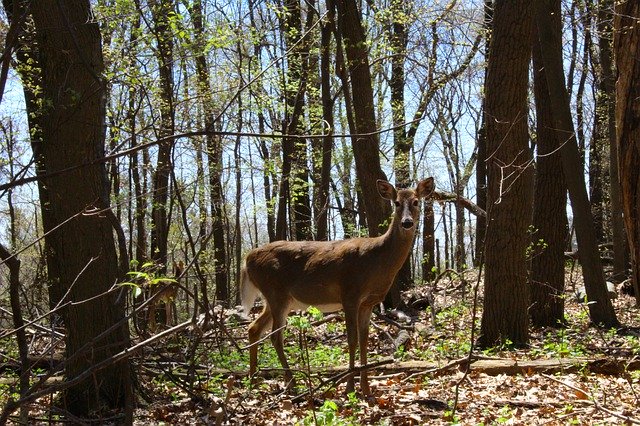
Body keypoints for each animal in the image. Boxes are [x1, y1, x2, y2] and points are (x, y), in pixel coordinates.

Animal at [240, 177, 436, 396]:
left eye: (416, 202)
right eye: (397, 203)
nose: (407, 222)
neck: (377, 260)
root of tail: (247, 259)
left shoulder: (368, 303)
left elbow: (364, 340)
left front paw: (366, 389)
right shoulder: (350, 293)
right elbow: (351, 340)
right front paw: (350, 387)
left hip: (278, 298)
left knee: (254, 328)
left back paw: (253, 380)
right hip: (276, 293)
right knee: (275, 336)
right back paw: (292, 383)